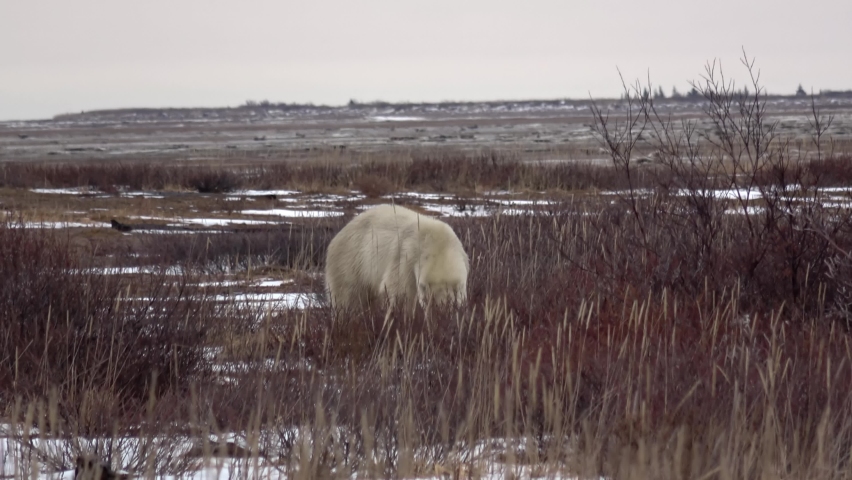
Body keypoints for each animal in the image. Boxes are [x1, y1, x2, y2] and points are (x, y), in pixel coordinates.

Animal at [325, 204, 469, 311]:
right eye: (430, 301)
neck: (439, 244)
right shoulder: (408, 256)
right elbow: (399, 291)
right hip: (351, 260)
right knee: (348, 296)